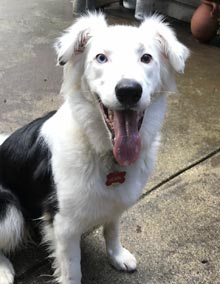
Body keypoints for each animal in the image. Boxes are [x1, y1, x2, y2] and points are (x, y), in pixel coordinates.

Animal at [0, 12, 189, 282]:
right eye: (101, 57)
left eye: (146, 57)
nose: (128, 91)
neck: (104, 152)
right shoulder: (64, 224)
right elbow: (72, 270)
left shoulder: (115, 203)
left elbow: (112, 229)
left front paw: (117, 255)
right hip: (10, 211)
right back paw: (3, 269)